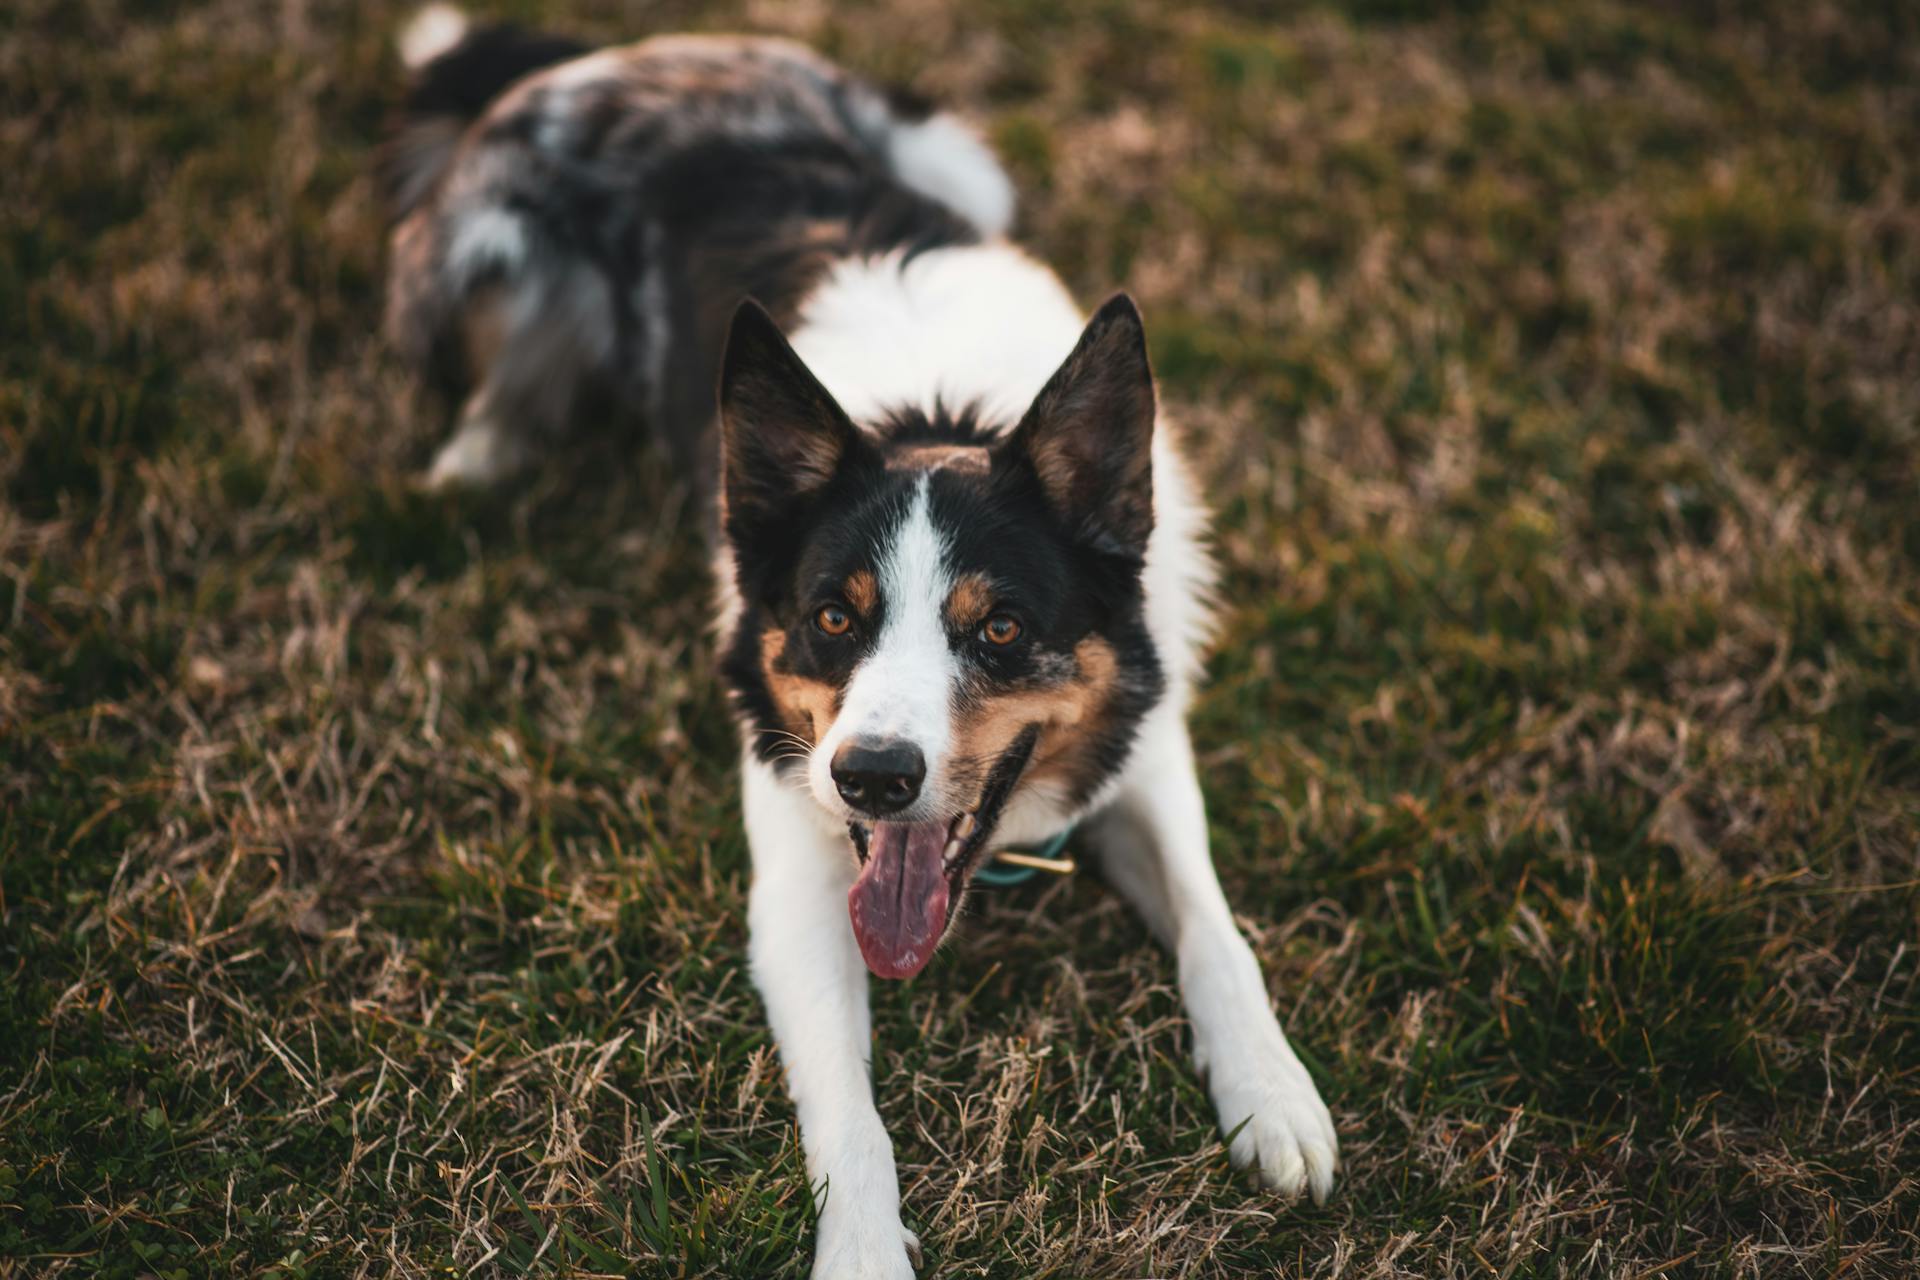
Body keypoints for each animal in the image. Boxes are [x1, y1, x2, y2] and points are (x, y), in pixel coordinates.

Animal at [374, 7, 1336, 1274]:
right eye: (836, 615)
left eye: (1001, 625)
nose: (874, 777)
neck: (940, 417)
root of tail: (626, 53)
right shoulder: (792, 868)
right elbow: (849, 1111)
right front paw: (867, 1249)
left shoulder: (1148, 737)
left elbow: (1216, 927)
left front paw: (1273, 1093)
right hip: (483, 245)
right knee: (503, 378)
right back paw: (469, 467)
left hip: (951, 154)